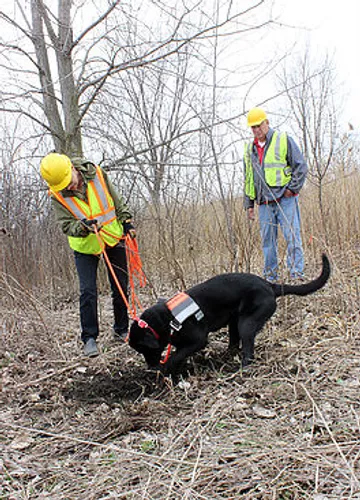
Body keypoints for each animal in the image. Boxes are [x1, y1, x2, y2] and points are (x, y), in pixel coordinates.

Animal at [128, 254, 330, 376]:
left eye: (143, 349)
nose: (150, 367)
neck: (167, 320)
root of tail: (269, 285)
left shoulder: (198, 340)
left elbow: (177, 355)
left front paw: (165, 368)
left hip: (247, 323)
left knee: (247, 347)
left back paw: (242, 367)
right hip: (234, 321)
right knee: (234, 342)